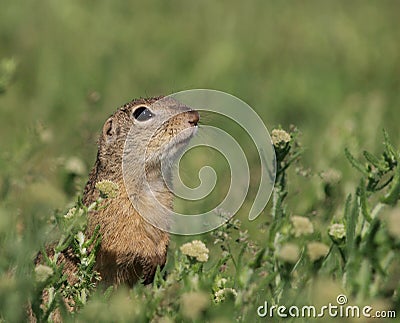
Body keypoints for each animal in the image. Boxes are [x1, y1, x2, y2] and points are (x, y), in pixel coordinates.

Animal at [35, 95, 199, 288]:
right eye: (142, 113)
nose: (195, 117)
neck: (151, 180)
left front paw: (161, 257)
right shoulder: (114, 220)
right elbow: (126, 241)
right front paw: (151, 259)